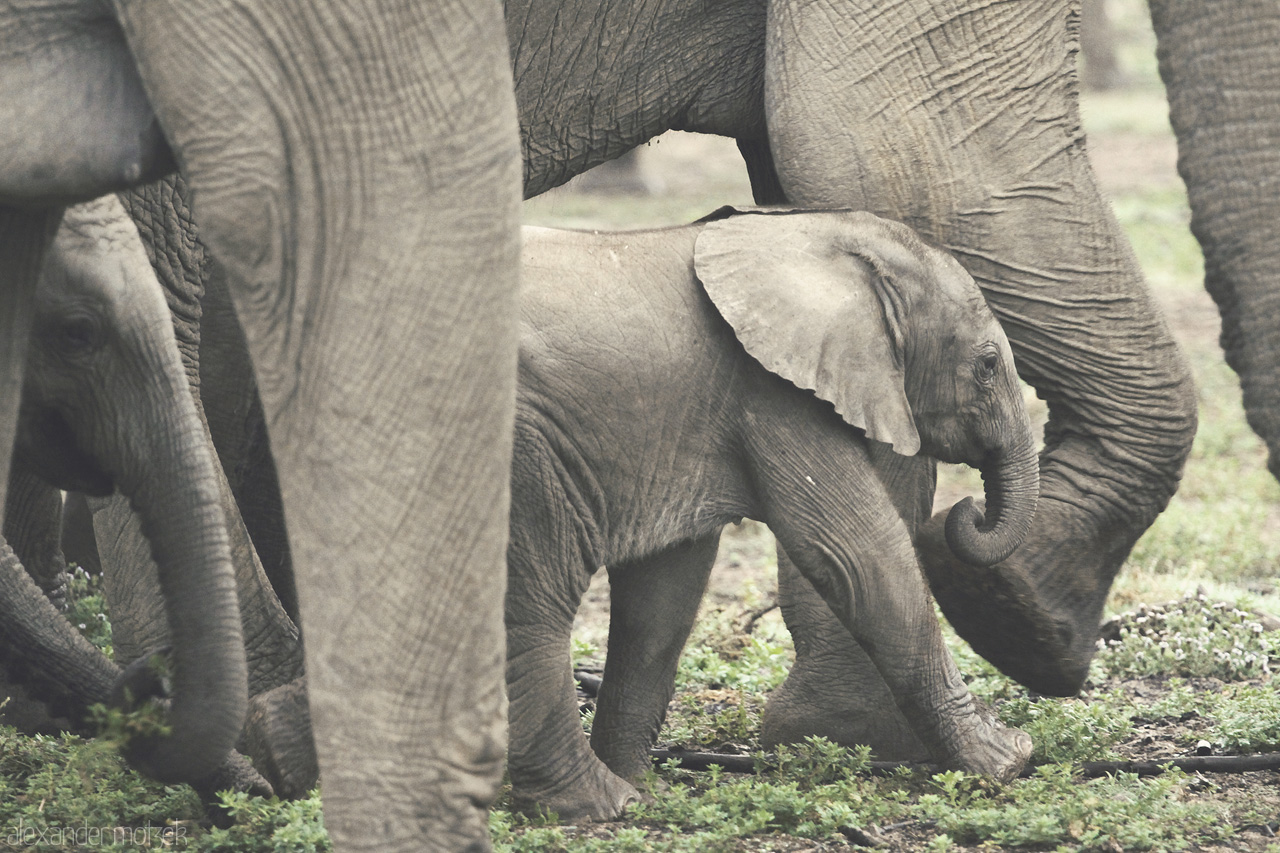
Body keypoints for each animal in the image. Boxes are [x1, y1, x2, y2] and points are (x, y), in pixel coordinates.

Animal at [506, 207, 1039, 819]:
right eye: (987, 365)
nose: (969, 508)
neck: (807, 234)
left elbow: (664, 594)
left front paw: (648, 791)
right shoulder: (775, 395)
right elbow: (860, 555)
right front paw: (1006, 762)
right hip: (525, 449)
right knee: (536, 605)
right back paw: (597, 806)